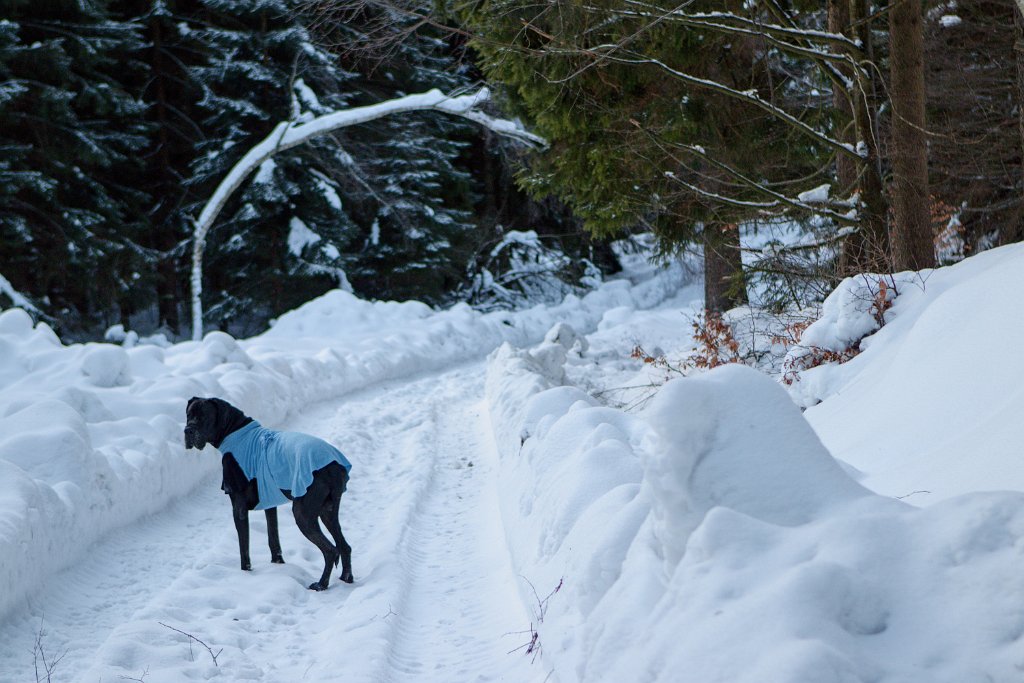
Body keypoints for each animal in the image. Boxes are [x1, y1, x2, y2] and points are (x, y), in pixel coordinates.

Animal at [185, 397, 356, 589]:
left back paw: (321, 585)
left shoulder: (238, 506)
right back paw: (346, 577)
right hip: (327, 509)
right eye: (189, 415)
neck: (233, 431)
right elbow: (273, 538)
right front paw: (278, 565)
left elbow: (244, 548)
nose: (188, 430)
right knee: (344, 546)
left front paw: (246, 573)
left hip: (303, 512)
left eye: (204, 417)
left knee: (331, 550)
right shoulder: (270, 503)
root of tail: (334, 466)